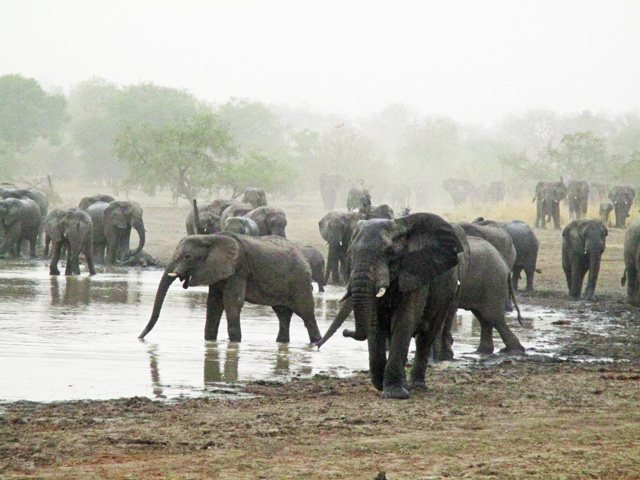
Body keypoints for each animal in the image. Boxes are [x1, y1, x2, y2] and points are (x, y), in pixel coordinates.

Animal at [138, 233, 322, 344]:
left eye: (187, 257)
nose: (139, 337)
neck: (210, 237)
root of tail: (304, 258)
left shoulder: (238, 269)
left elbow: (232, 301)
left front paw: (234, 342)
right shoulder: (216, 271)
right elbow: (213, 304)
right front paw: (209, 342)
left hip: (300, 281)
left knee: (306, 313)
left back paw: (316, 341)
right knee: (282, 314)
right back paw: (282, 343)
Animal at [318, 213, 462, 398]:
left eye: (389, 253)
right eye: (351, 252)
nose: (345, 332)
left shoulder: (415, 273)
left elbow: (404, 321)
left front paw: (395, 394)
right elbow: (376, 324)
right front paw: (382, 386)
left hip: (447, 295)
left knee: (426, 336)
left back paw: (416, 386)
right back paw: (406, 385)